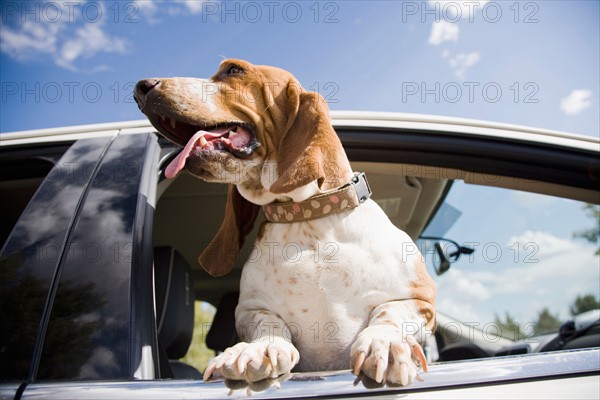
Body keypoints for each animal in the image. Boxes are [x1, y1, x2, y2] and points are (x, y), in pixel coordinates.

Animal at [135, 57, 436, 386]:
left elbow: (388, 314)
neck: (306, 216)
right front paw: (257, 350)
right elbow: (269, 325)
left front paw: (385, 344)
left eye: (233, 70)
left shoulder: (422, 301)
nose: (141, 87)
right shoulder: (250, 310)